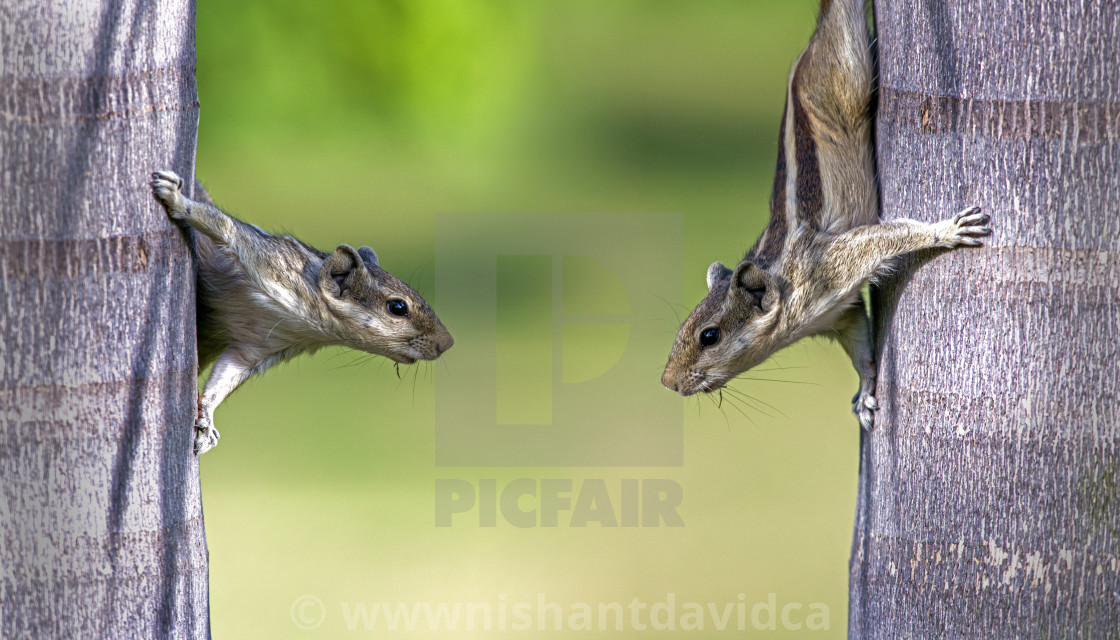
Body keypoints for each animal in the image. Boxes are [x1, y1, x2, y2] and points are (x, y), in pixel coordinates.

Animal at [150, 170, 454, 450]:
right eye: (397, 307)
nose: (447, 343)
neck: (306, 322)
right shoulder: (263, 258)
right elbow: (221, 225)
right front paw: (178, 200)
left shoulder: (258, 347)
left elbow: (226, 376)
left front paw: (208, 417)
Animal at [658, 1, 985, 430]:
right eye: (683, 326)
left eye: (709, 336)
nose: (668, 382)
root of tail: (808, 52)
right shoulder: (840, 315)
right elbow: (862, 349)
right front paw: (864, 393)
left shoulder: (834, 261)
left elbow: (887, 237)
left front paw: (944, 230)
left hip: (847, 72)